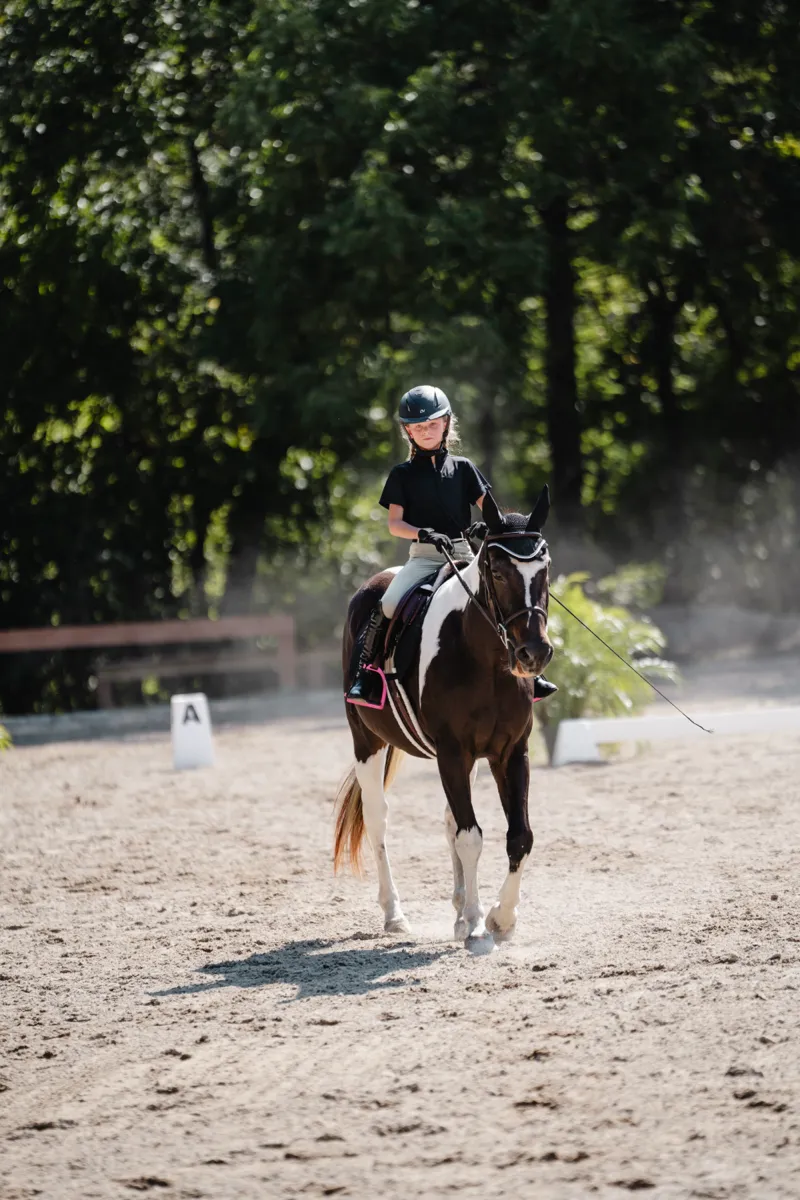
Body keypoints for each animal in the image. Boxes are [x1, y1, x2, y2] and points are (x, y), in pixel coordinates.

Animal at [334, 486, 553, 945]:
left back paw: (457, 911)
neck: (486, 662)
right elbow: (471, 837)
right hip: (367, 742)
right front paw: (477, 923)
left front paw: (500, 918)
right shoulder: (453, 753)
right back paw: (395, 914)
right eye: (497, 571)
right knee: (379, 820)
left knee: (451, 818)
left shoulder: (510, 753)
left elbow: (518, 836)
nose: (534, 654)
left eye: (544, 569)